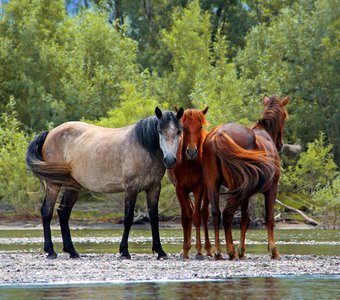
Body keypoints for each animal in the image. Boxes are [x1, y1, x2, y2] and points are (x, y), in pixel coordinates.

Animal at [26, 106, 185, 258]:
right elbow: (128, 219)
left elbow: (154, 218)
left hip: (72, 185)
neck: (143, 147)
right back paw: (51, 251)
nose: (170, 160)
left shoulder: (154, 188)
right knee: (47, 211)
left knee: (63, 213)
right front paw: (124, 252)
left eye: (178, 131)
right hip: (53, 183)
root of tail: (50, 132)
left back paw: (72, 251)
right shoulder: (131, 188)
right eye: (160, 131)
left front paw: (160, 251)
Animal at [168, 107, 212, 258]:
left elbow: (197, 217)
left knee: (204, 214)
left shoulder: (199, 188)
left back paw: (208, 249)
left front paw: (199, 250)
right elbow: (185, 218)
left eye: (200, 127)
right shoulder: (180, 188)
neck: (189, 164)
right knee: (190, 211)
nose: (192, 152)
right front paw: (185, 249)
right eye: (184, 128)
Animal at [202, 96, 290, 260]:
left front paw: (242, 250)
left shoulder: (246, 193)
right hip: (235, 186)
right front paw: (273, 250)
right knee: (227, 214)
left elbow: (245, 220)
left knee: (216, 213)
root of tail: (218, 134)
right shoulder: (272, 189)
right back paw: (230, 251)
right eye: (285, 116)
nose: (281, 144)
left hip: (213, 184)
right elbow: (269, 219)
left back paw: (218, 252)